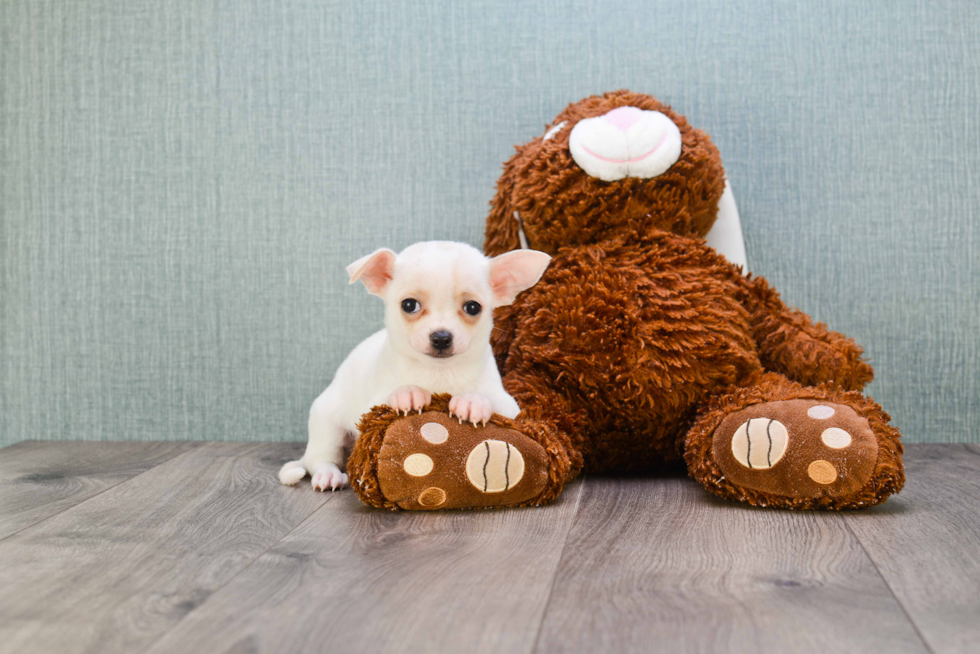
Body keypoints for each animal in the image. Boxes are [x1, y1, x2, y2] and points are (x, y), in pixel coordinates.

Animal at [278, 241, 552, 492]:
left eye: (473, 307)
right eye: (409, 305)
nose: (441, 337)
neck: (438, 372)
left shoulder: (509, 406)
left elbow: (489, 398)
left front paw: (472, 401)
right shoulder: (370, 408)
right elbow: (390, 396)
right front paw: (408, 393)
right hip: (327, 425)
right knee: (319, 459)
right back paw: (328, 475)